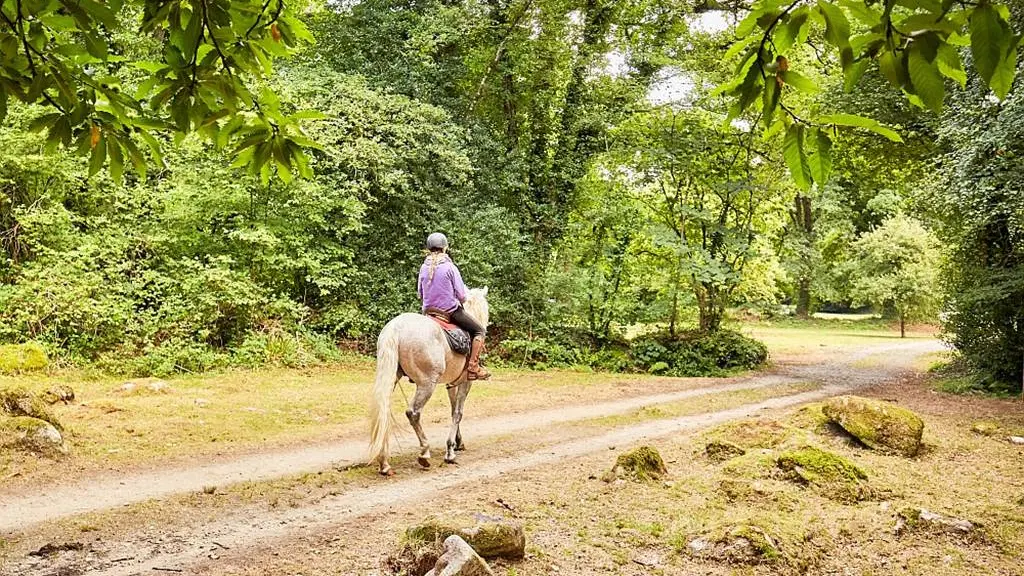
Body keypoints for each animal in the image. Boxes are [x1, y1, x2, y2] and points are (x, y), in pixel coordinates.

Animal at [368, 284, 491, 473]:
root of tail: (396, 328)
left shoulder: (452, 383)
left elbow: (453, 410)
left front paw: (457, 443)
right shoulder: (466, 382)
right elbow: (458, 413)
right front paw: (450, 452)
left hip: (391, 378)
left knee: (384, 411)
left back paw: (384, 462)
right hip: (427, 384)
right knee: (413, 413)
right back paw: (424, 453)